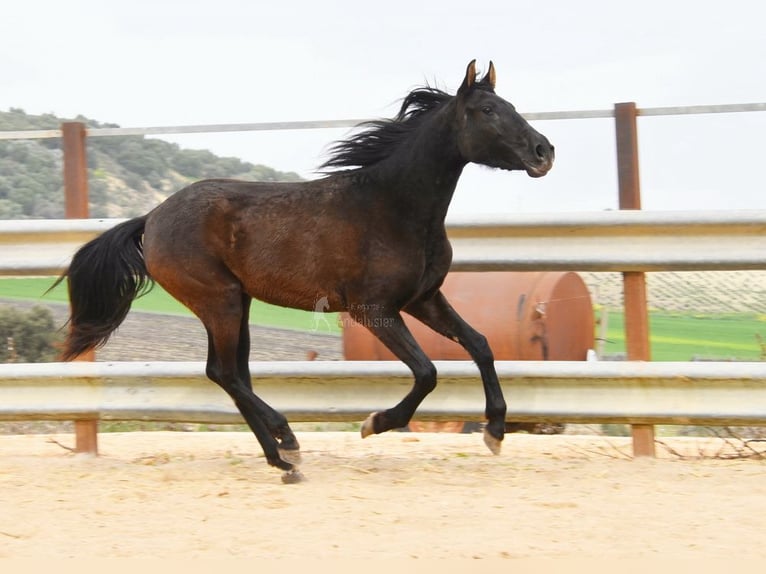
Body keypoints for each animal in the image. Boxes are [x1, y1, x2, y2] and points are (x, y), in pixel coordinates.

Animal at [55, 60, 560, 486]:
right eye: (488, 110)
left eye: (511, 106)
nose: (544, 151)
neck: (393, 207)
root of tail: (152, 219)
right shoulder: (373, 310)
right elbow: (427, 372)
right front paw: (374, 424)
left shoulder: (424, 299)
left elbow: (481, 345)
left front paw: (495, 430)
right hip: (219, 301)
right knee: (224, 372)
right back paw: (287, 443)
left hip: (238, 304)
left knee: (233, 374)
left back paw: (283, 458)